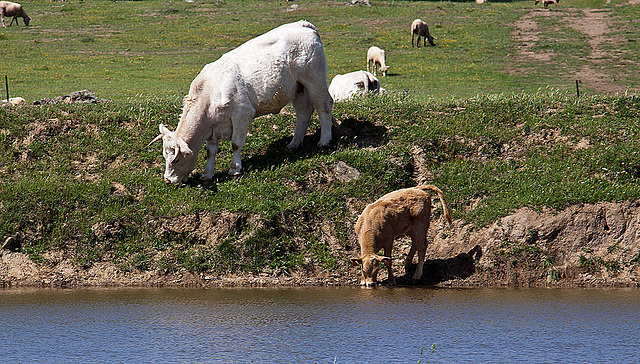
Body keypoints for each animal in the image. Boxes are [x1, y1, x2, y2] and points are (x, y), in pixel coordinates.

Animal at [148, 20, 332, 185]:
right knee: (303, 112)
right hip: (297, 88)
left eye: (176, 160)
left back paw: (324, 142)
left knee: (324, 107)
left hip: (314, 79)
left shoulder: (242, 114)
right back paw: (294, 144)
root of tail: (303, 24)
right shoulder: (212, 127)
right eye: (165, 156)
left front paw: (235, 169)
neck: (210, 93)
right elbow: (210, 151)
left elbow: (236, 144)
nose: (168, 180)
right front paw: (207, 174)